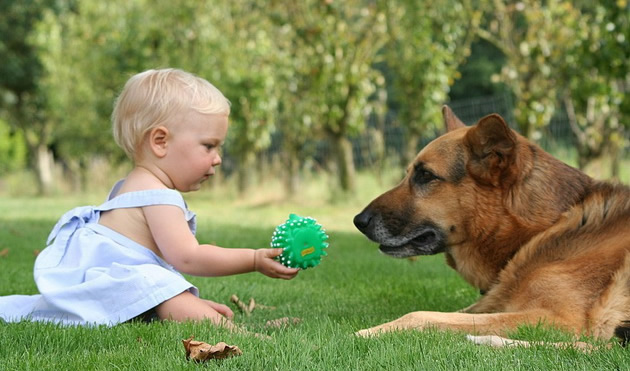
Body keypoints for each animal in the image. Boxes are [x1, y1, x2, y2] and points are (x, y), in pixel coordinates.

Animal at [354, 105, 630, 348]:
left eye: (425, 175)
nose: (358, 221)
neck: (544, 229)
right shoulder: (490, 304)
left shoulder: (559, 319)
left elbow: (420, 314)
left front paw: (366, 332)